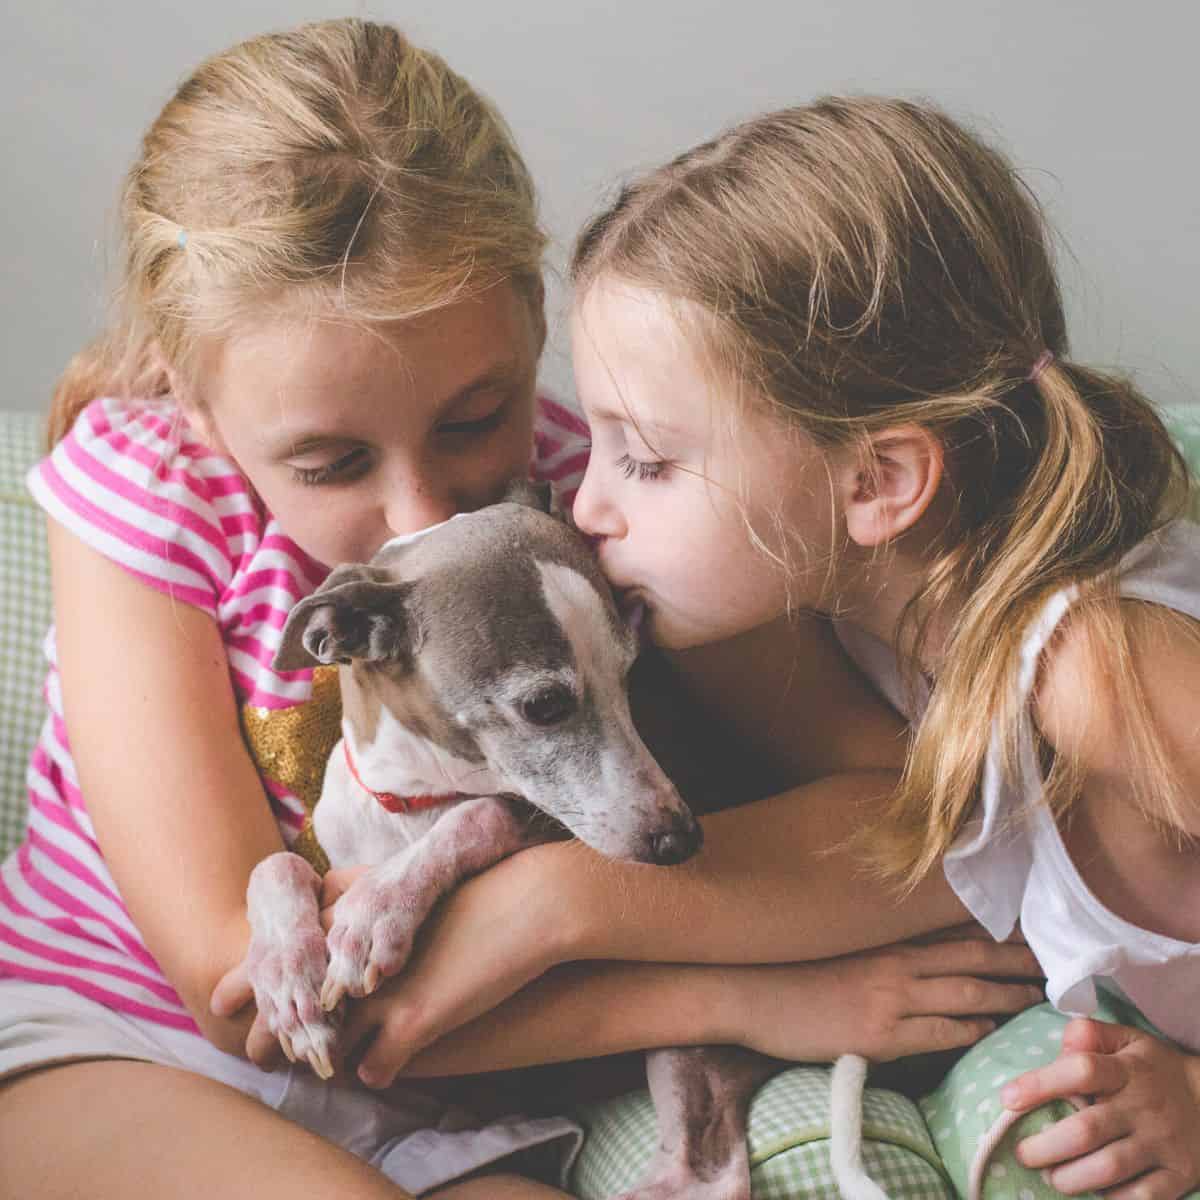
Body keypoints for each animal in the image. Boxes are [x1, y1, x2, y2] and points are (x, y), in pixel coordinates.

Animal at [241, 484, 873, 1200]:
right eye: (544, 705)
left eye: (630, 675)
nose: (681, 840)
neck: (413, 800)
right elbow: (275, 862)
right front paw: (288, 973)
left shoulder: (542, 821)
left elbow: (481, 814)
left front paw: (377, 911)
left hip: (690, 1042)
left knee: (714, 1170)